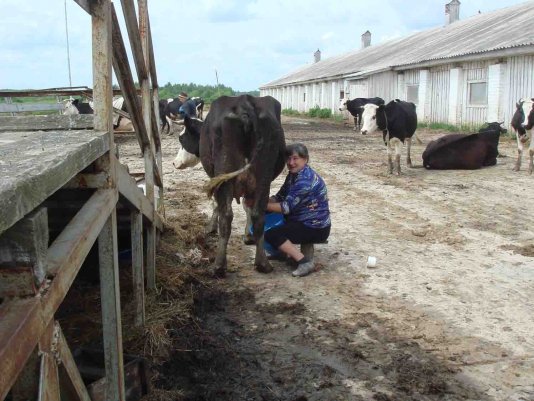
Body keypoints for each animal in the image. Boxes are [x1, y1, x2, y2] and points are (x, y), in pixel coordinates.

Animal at [174, 94, 286, 276]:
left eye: (181, 138)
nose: (174, 162)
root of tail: (245, 103)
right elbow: (248, 209)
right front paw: (248, 236)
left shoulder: (215, 178)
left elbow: (217, 206)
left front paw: (210, 228)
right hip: (263, 177)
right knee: (258, 215)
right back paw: (262, 263)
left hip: (224, 177)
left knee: (226, 215)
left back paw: (219, 266)